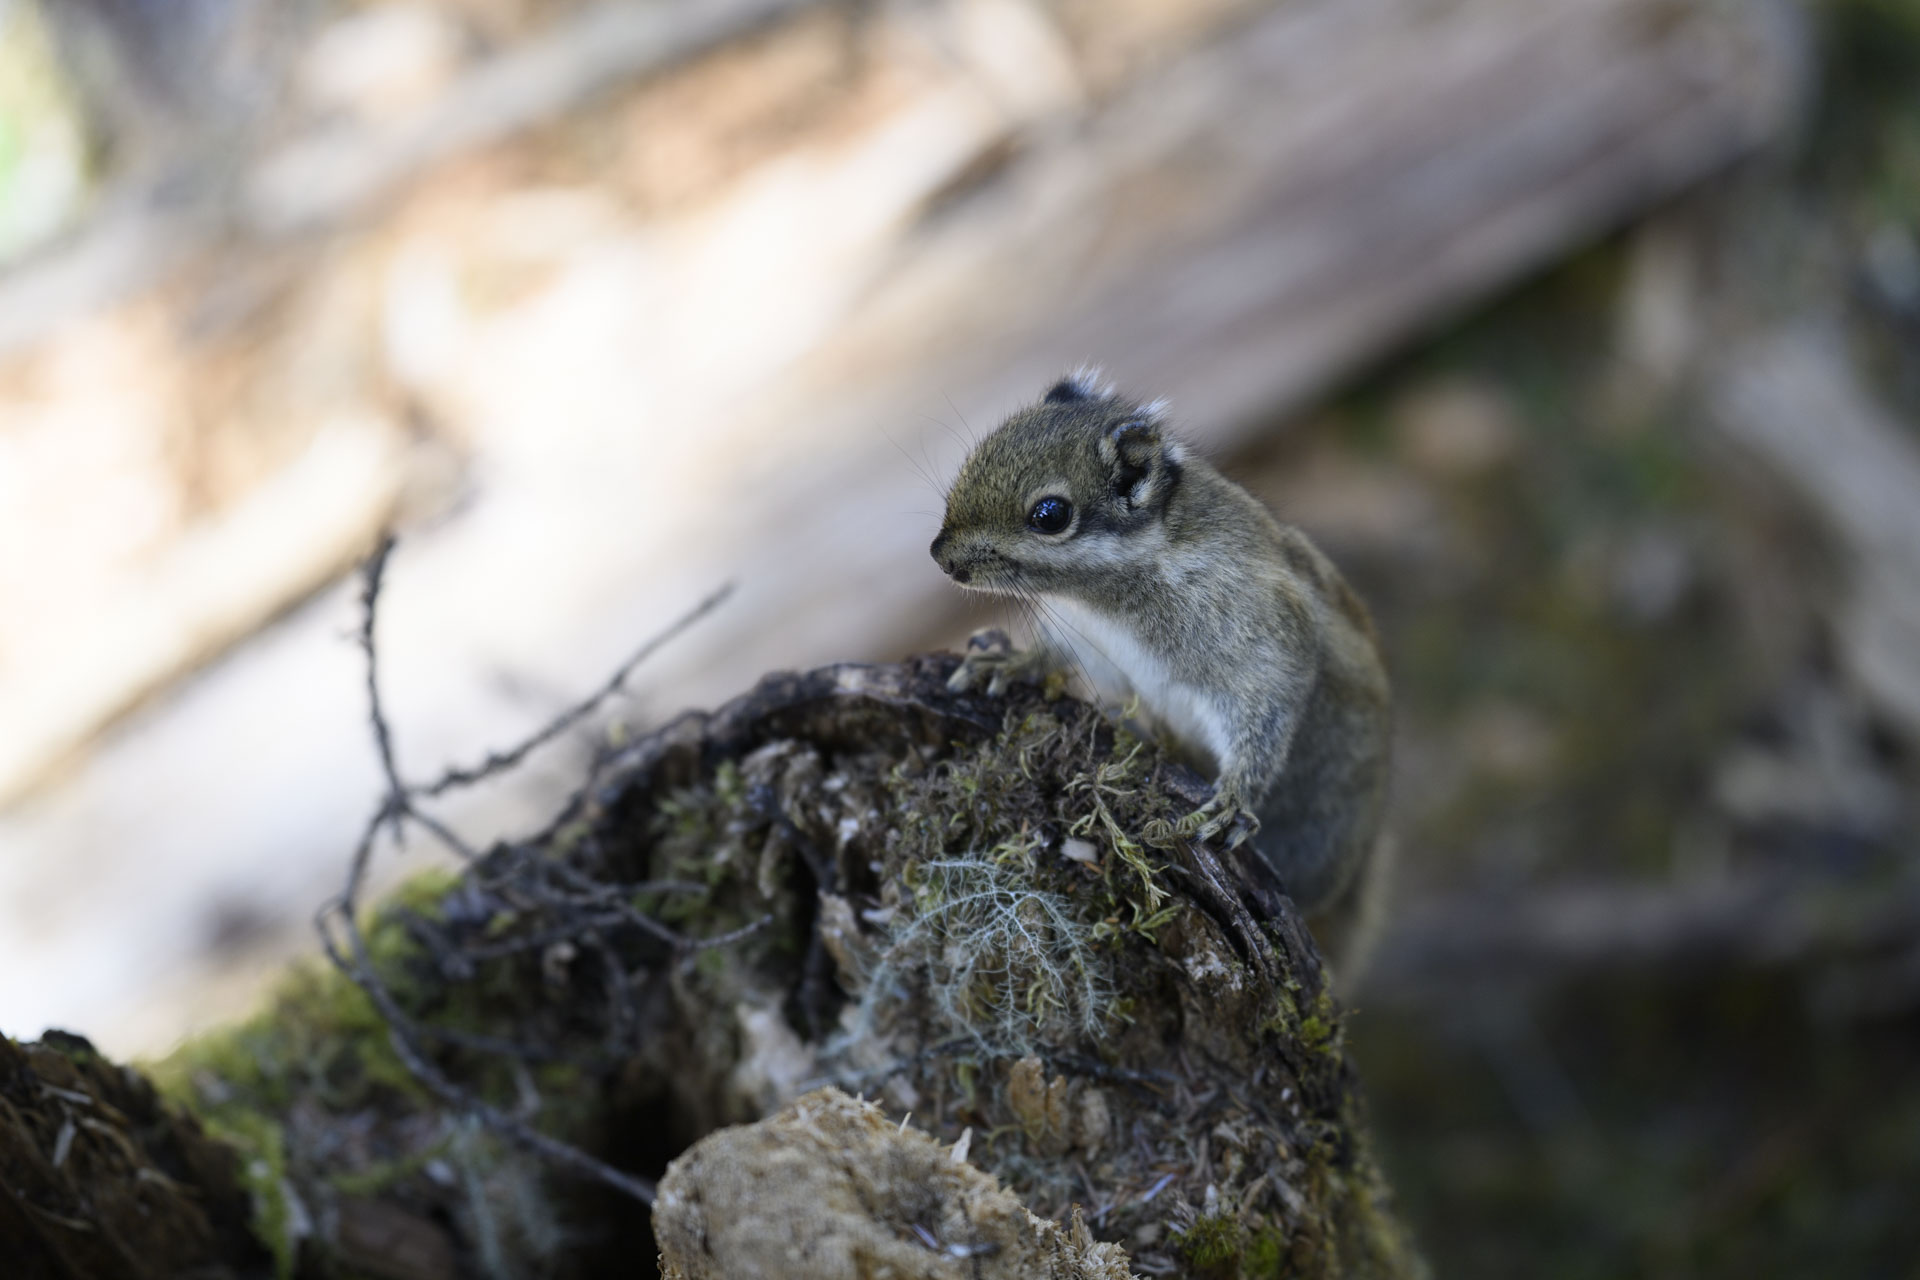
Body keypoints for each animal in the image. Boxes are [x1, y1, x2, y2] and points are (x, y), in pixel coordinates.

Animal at [929, 369, 1392, 976]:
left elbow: (1265, 716)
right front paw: (1011, 662)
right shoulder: (1090, 646)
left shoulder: (1260, 644)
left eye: (1049, 515)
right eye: (974, 456)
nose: (940, 556)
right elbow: (1053, 658)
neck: (1110, 595)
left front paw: (1232, 800)